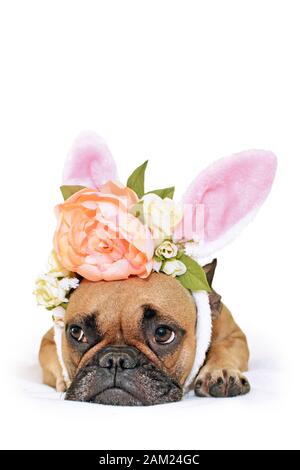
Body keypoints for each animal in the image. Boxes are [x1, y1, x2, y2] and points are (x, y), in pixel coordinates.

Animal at [39, 258, 251, 406]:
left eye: (163, 334)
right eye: (77, 333)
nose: (116, 359)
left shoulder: (233, 335)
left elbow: (224, 348)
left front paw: (219, 371)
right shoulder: (49, 340)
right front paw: (64, 380)